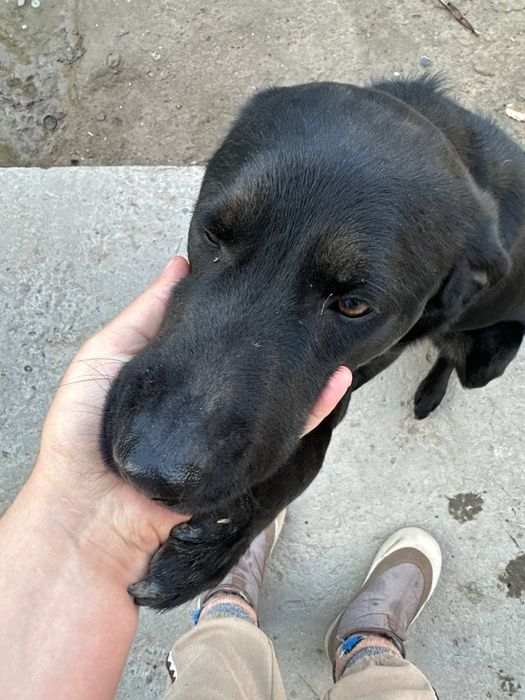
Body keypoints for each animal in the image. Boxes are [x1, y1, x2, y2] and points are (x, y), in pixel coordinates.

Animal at [101, 76, 525, 609]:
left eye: (354, 306)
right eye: (213, 234)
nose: (150, 470)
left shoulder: (356, 371)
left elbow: (309, 454)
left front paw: (224, 536)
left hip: (486, 358)